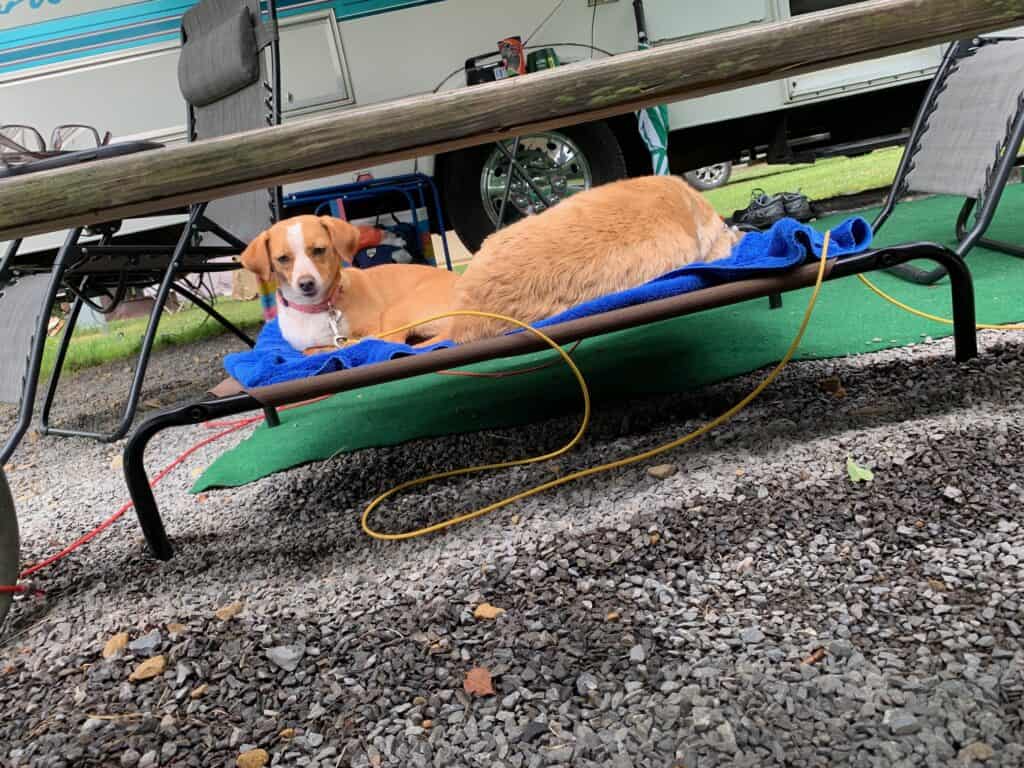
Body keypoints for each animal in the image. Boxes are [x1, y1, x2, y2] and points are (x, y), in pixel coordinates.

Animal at [239, 214, 456, 352]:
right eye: (282, 258)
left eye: (319, 250)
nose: (306, 284)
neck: (318, 309)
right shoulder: (304, 347)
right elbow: (309, 351)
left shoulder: (373, 329)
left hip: (396, 311)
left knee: (392, 343)